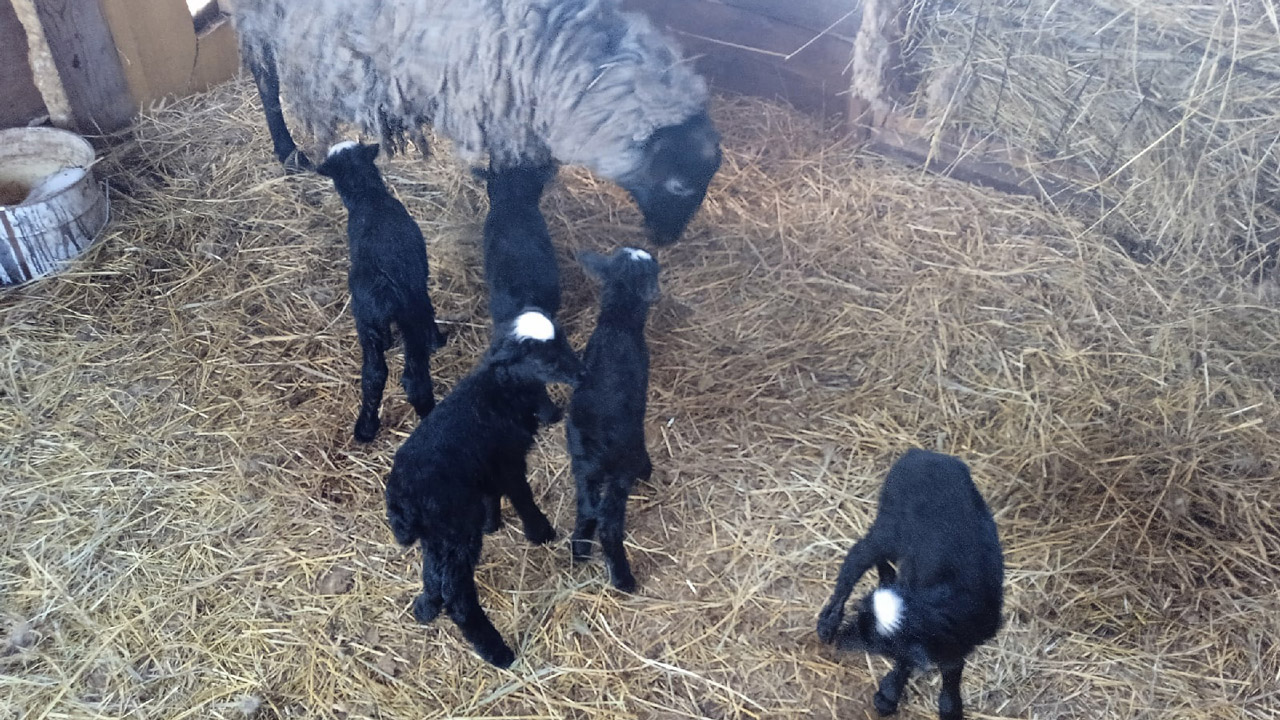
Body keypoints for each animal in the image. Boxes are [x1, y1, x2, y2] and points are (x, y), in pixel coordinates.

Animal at [226, 0, 727, 243]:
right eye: (678, 184)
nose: (667, 240)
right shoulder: (500, 118)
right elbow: (509, 193)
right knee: (265, 75)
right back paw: (287, 152)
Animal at [313, 139, 445, 440]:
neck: (368, 197)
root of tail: (382, 289)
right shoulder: (420, 288)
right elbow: (430, 311)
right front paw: (437, 340)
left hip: (366, 321)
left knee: (372, 375)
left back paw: (365, 428)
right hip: (408, 316)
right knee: (413, 378)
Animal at [378, 304, 581, 666]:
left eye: (565, 344)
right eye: (546, 359)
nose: (583, 375)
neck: (498, 389)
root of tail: (403, 501)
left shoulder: (487, 467)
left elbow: (491, 495)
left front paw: (492, 522)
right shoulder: (508, 460)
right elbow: (522, 496)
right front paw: (541, 533)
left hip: (439, 535)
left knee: (433, 574)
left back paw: (425, 608)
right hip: (455, 534)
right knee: (457, 596)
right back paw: (497, 652)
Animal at [565, 244, 660, 589]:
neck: (616, 324)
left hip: (582, 467)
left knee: (586, 510)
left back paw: (580, 550)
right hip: (619, 468)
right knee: (607, 522)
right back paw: (623, 578)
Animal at [814, 448, 1003, 717]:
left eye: (875, 643)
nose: (842, 642)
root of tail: (919, 454)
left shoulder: (961, 640)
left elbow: (951, 669)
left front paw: (950, 707)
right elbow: (908, 662)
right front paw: (889, 695)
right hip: (888, 526)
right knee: (856, 559)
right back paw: (828, 622)